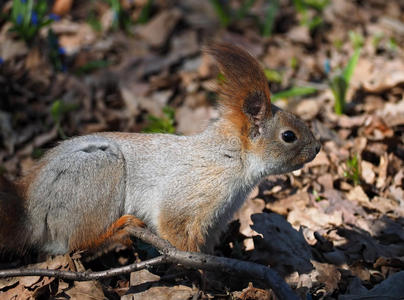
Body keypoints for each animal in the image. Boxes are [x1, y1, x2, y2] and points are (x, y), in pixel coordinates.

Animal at [0, 43, 322, 256]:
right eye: (289, 136)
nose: (318, 147)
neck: (235, 158)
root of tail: (29, 211)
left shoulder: (218, 217)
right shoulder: (193, 190)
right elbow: (173, 226)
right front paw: (199, 267)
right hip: (97, 174)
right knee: (77, 243)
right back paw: (117, 232)